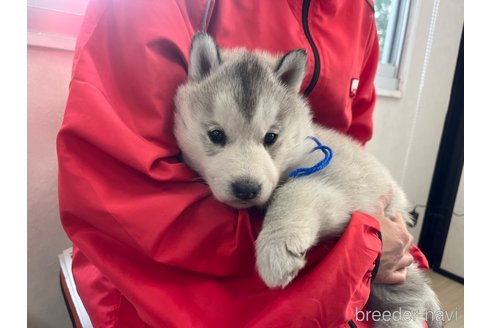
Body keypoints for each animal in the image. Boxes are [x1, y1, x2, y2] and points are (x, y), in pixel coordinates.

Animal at [174, 33, 442, 328]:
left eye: (271, 137)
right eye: (216, 135)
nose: (247, 188)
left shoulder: (337, 189)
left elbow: (293, 192)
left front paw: (277, 249)